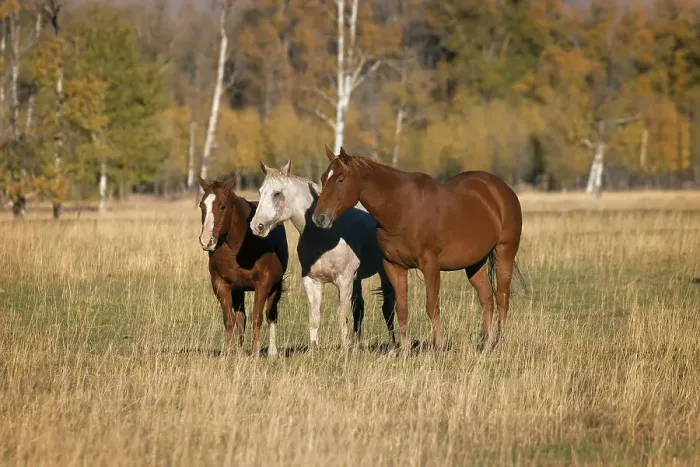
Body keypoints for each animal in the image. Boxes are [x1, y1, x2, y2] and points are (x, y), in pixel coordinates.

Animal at [198, 176, 288, 356]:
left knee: (271, 314)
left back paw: (272, 352)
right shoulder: (221, 284)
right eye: (201, 205)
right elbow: (230, 319)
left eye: (223, 206)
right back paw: (240, 352)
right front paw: (230, 353)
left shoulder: (264, 283)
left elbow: (257, 317)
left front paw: (255, 353)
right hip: (238, 289)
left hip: (276, 286)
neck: (240, 245)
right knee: (241, 318)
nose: (206, 241)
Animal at [249, 160, 396, 350]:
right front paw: (313, 350)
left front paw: (345, 351)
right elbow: (314, 318)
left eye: (277, 193)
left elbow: (342, 317)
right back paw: (357, 345)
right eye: (260, 192)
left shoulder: (344, 281)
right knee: (359, 308)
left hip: (384, 271)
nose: (256, 226)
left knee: (388, 306)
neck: (325, 236)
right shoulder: (312, 281)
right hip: (357, 279)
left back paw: (392, 347)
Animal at [311, 146, 523, 353]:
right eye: (323, 178)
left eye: (340, 180)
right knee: (487, 299)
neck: (401, 210)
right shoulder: (394, 266)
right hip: (474, 263)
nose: (319, 218)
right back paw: (487, 345)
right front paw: (405, 351)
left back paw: (500, 343)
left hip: (504, 253)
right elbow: (401, 309)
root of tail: (501, 190)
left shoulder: (430, 265)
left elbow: (432, 307)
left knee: (502, 298)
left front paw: (439, 347)